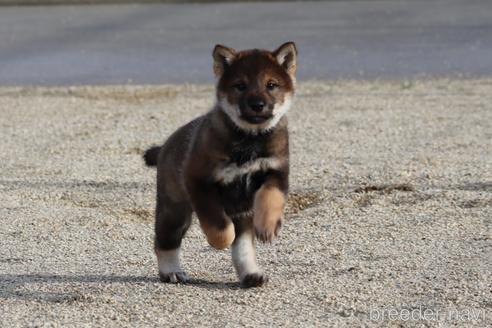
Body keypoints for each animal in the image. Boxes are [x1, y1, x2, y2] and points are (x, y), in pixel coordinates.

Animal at [142, 41, 296, 288]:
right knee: (164, 242)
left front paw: (268, 226)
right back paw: (171, 271)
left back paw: (251, 274)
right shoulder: (199, 182)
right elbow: (219, 224)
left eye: (271, 85)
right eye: (240, 86)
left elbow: (270, 198)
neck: (249, 139)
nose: (257, 105)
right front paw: (219, 241)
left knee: (242, 247)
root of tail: (166, 144)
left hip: (241, 214)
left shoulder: (276, 173)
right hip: (174, 210)